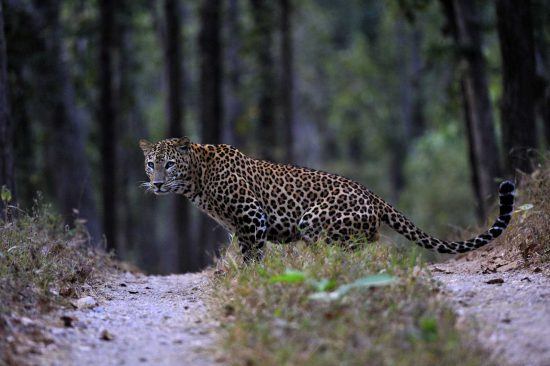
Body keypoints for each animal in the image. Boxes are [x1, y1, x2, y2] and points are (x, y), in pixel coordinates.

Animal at [141, 136, 516, 262]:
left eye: (169, 164)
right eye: (150, 164)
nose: (156, 183)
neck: (197, 180)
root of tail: (373, 195)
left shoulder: (252, 217)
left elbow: (253, 254)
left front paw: (250, 277)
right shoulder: (239, 226)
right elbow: (248, 251)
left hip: (314, 220)